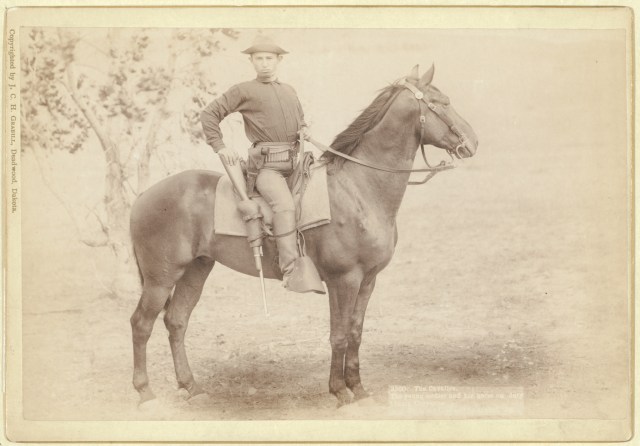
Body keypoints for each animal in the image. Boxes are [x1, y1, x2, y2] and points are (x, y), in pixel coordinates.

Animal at [129, 64, 478, 407]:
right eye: (441, 103)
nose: (473, 142)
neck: (358, 189)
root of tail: (143, 195)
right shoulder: (343, 279)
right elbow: (338, 335)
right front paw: (340, 391)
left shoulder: (368, 279)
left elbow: (355, 332)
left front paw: (358, 387)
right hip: (161, 278)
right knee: (141, 324)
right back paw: (145, 391)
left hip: (196, 270)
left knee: (176, 321)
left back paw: (191, 386)